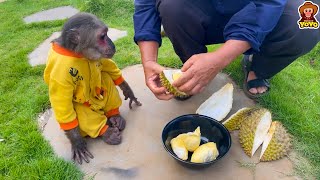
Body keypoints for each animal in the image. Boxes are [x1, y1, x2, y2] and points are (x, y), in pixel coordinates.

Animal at [43, 12, 141, 165]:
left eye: (107, 33)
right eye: (102, 36)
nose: (112, 44)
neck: (77, 53)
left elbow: (107, 65)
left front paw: (127, 90)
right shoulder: (59, 74)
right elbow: (63, 105)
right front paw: (77, 142)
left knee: (105, 76)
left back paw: (115, 116)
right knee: (79, 109)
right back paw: (106, 131)